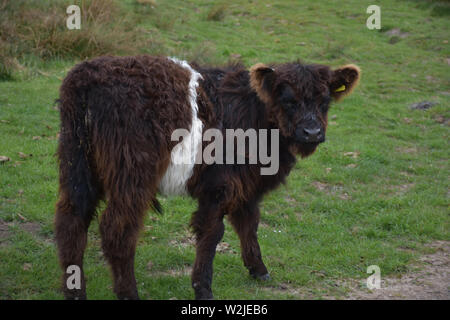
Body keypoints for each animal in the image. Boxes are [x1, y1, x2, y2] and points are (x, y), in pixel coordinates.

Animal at [55, 55, 358, 300]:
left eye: (325, 102)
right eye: (288, 101)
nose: (312, 132)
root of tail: (86, 75)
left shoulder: (245, 184)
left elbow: (249, 223)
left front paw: (258, 269)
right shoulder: (220, 185)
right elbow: (213, 233)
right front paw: (203, 288)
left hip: (77, 164)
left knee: (71, 220)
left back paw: (75, 292)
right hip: (131, 175)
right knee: (117, 231)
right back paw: (129, 293)